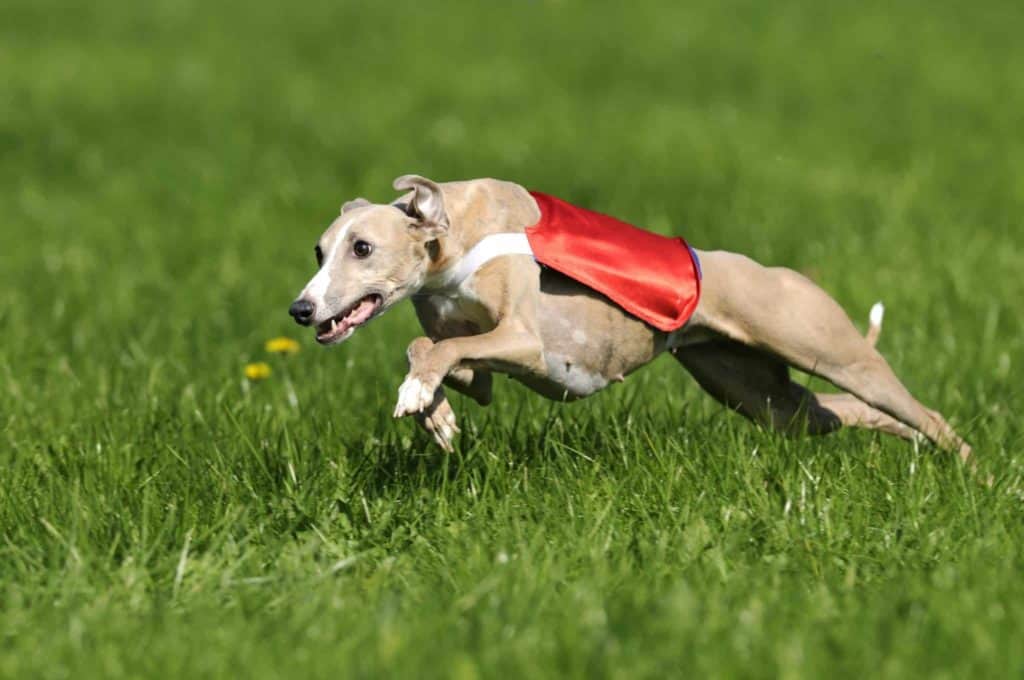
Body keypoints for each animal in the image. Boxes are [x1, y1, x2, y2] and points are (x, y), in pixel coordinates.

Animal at [286, 175, 966, 462]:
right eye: (319, 251)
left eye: (362, 247)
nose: (301, 308)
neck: (450, 234)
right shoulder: (474, 358)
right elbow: (429, 350)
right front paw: (435, 413)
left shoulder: (525, 342)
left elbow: (439, 351)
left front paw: (422, 400)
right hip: (762, 396)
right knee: (844, 414)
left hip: (827, 347)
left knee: (922, 412)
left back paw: (973, 475)